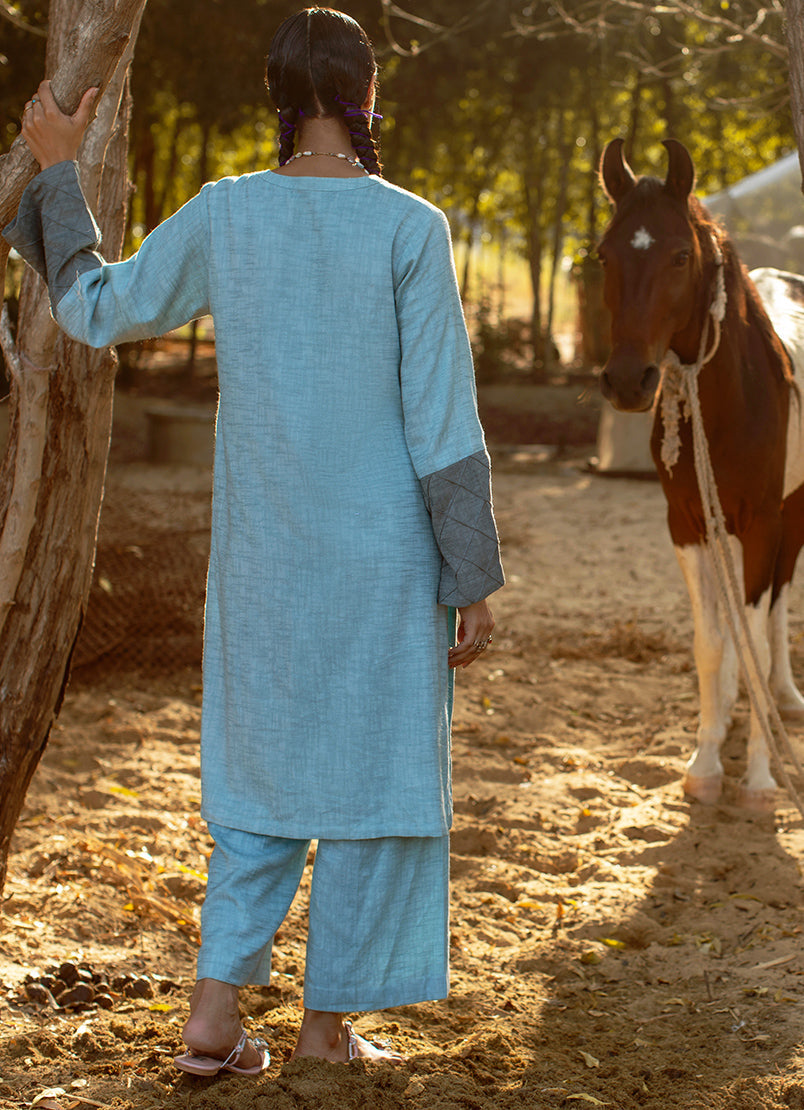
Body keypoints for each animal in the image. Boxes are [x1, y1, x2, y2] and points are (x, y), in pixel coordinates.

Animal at [595, 138, 804, 808]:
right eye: (604, 254)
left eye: (681, 255)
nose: (627, 382)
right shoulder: (687, 524)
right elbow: (713, 641)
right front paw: (706, 762)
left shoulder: (764, 523)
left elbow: (756, 634)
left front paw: (761, 778)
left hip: (793, 513)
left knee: (780, 600)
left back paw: (783, 698)